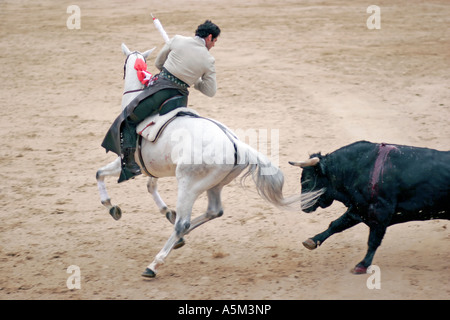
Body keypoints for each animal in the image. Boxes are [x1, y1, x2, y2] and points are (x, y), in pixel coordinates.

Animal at [96, 43, 318, 278]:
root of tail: (236, 143)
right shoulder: (154, 167)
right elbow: (150, 186)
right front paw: (166, 211)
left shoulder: (129, 163)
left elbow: (100, 173)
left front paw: (110, 205)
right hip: (215, 184)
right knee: (214, 211)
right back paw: (179, 239)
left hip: (188, 184)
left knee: (183, 223)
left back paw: (155, 264)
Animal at [290, 141, 448, 274]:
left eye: (307, 179)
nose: (303, 207)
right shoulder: (359, 208)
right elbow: (336, 224)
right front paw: (311, 241)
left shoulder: (381, 214)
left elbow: (373, 240)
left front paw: (362, 265)